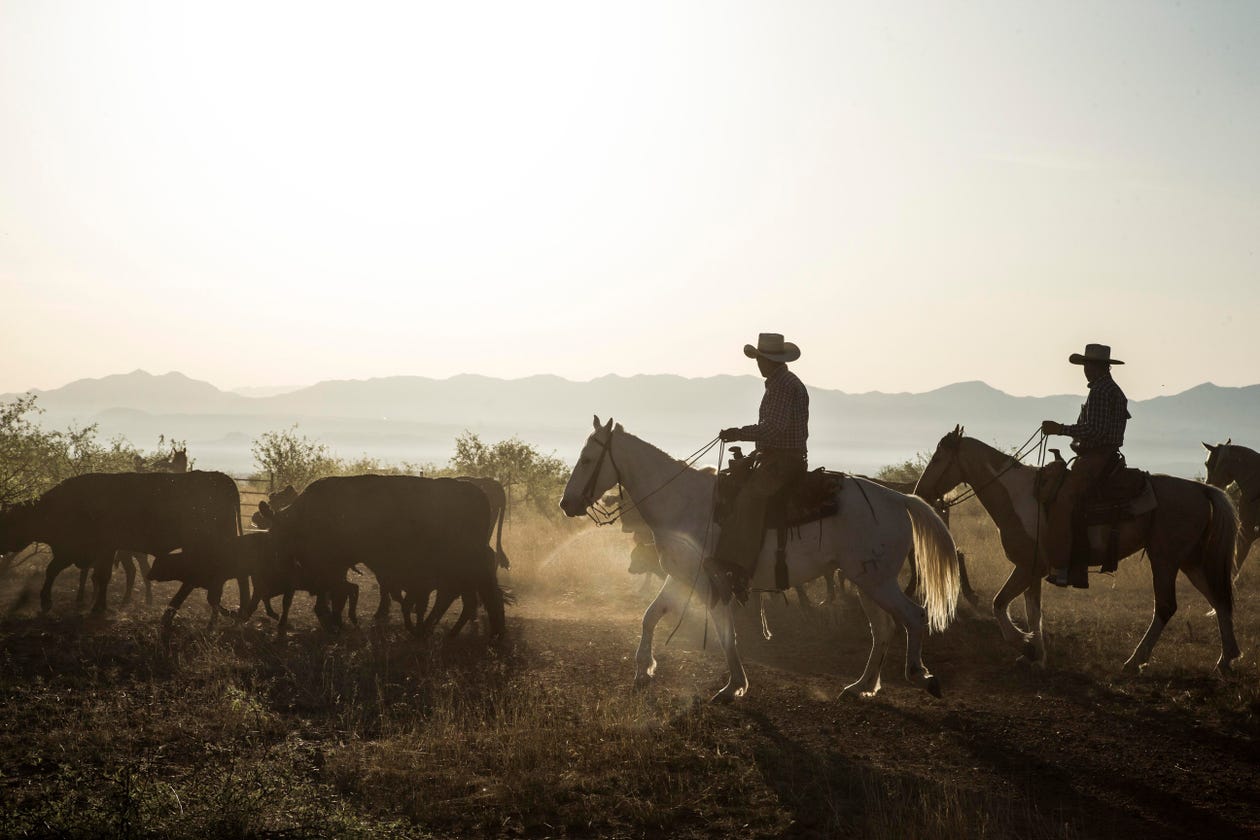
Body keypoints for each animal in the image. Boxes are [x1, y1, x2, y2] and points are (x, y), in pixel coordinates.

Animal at [0, 471, 240, 622]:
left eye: (10, 521)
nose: (3, 546)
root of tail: (221, 477)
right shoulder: (89, 550)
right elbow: (79, 574)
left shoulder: (94, 548)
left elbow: (94, 575)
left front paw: (92, 608)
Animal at [556, 420, 957, 705]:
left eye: (588, 460)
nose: (566, 503)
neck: (684, 501)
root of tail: (898, 498)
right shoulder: (682, 578)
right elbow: (650, 616)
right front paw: (643, 671)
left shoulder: (712, 582)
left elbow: (725, 633)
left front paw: (733, 687)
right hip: (864, 581)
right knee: (883, 629)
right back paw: (861, 686)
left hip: (877, 581)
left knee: (913, 616)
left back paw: (921, 676)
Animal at [917, 430, 1239, 675]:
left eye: (938, 458)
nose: (920, 492)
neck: (1018, 496)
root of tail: (1201, 490)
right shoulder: (1032, 571)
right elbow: (1033, 611)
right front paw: (1037, 655)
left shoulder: (1027, 567)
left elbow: (999, 604)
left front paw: (1024, 645)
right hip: (1191, 561)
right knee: (1219, 600)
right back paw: (1226, 660)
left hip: (1165, 560)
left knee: (1166, 606)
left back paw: (1134, 661)